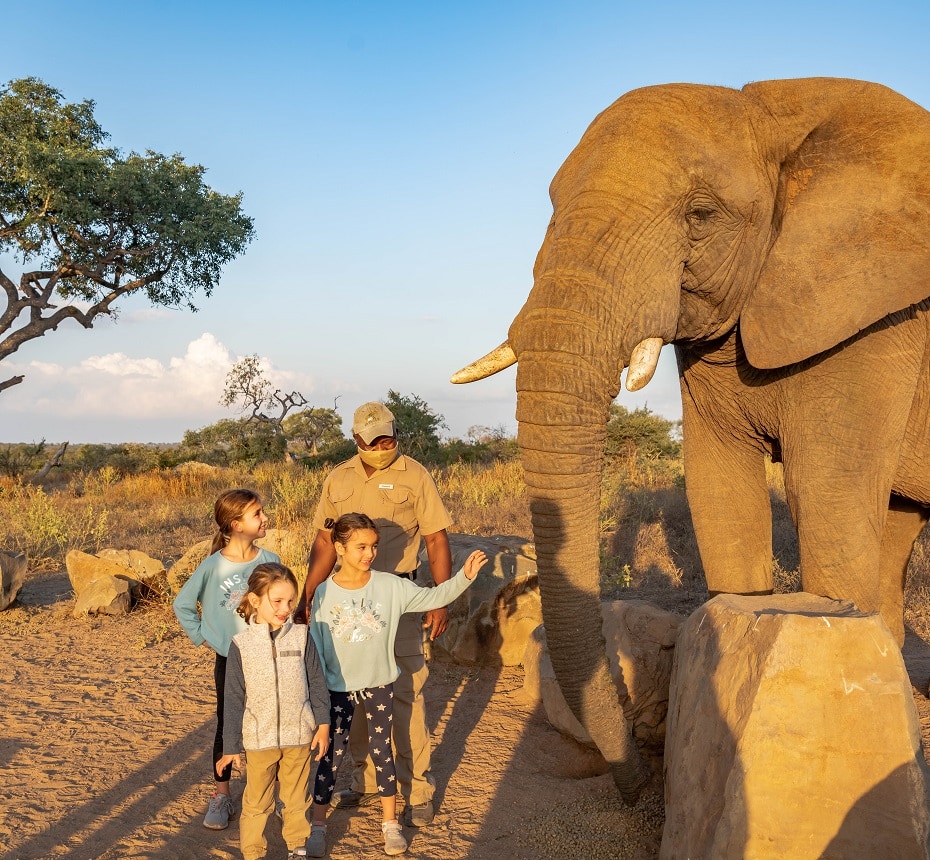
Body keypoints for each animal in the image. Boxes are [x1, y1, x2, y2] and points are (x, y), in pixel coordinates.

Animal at [451, 78, 930, 802]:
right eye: (552, 208)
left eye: (701, 216)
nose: (633, 782)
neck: (768, 112)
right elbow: (720, 492)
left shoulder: (872, 318)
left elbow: (829, 500)